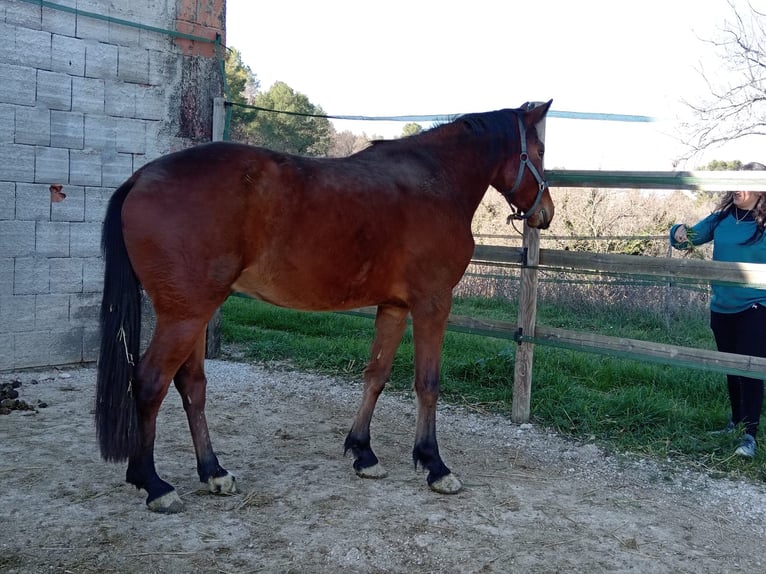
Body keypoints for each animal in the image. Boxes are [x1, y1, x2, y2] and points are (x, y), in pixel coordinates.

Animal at [96, 100, 554, 513]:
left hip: (195, 312)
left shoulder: (393, 306)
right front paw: (435, 465)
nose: (545, 213)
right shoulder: (432, 303)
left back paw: (214, 472)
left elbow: (376, 376)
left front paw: (363, 453)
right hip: (184, 315)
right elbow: (427, 383)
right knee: (150, 381)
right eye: (540, 150)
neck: (435, 180)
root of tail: (141, 177)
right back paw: (154, 484)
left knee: (191, 384)